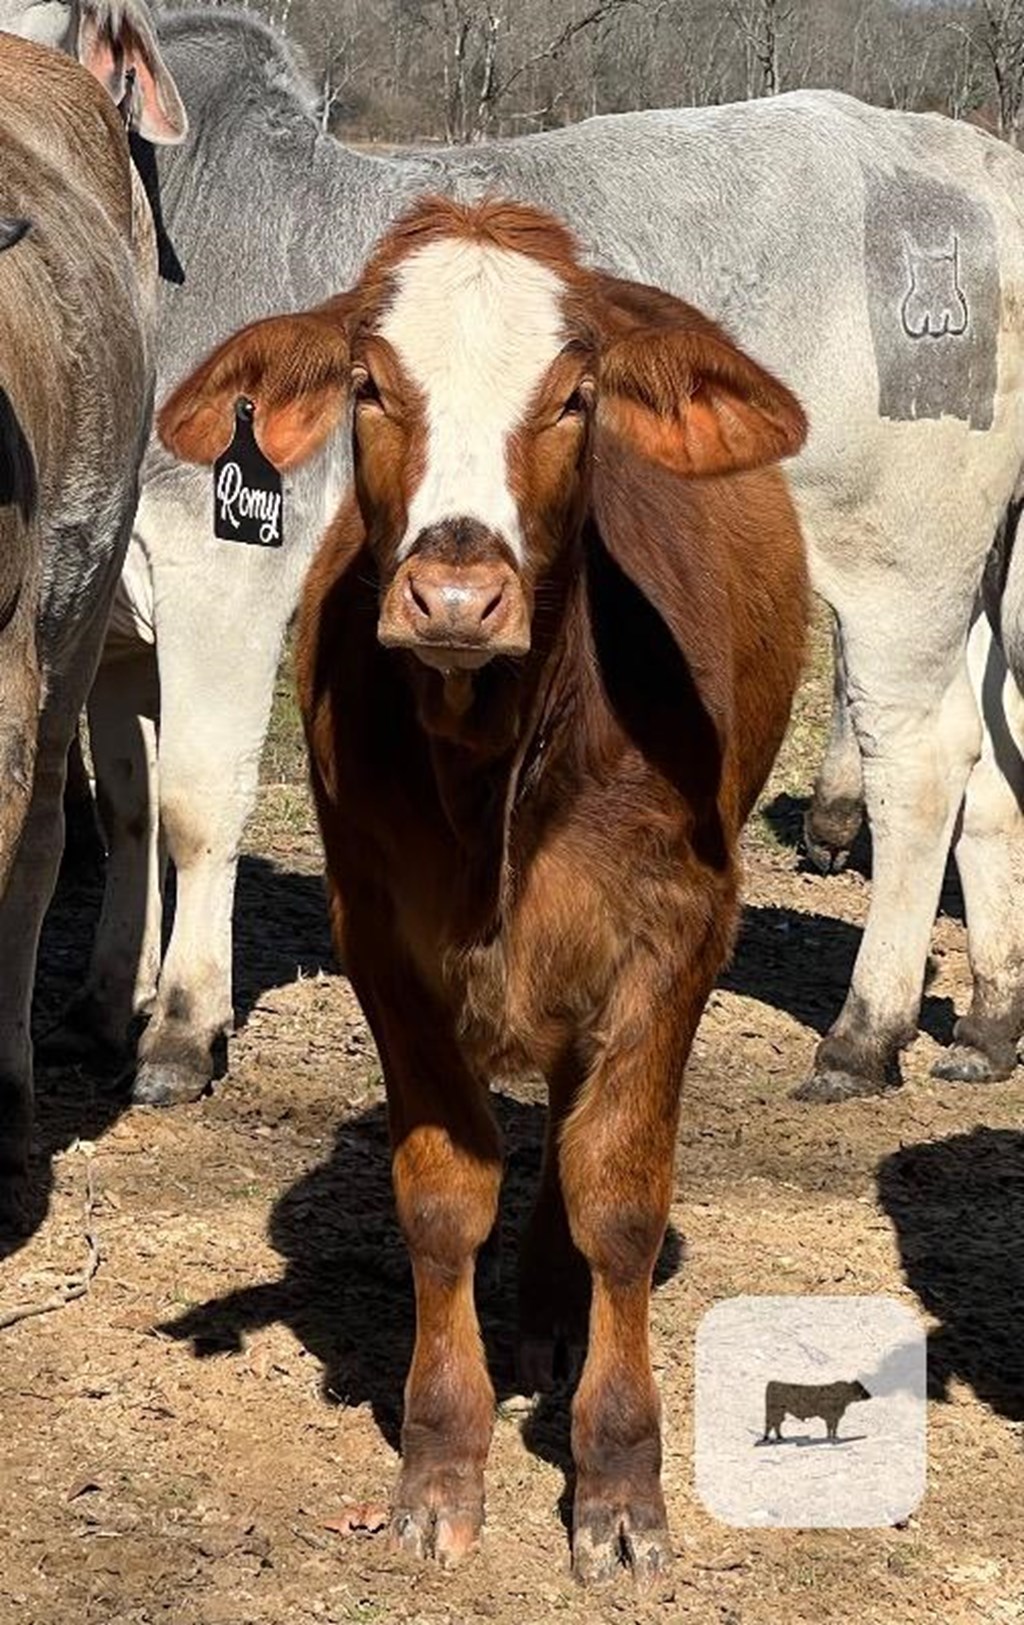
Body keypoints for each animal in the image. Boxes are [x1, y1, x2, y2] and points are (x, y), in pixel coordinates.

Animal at [8, 3, 1024, 1118]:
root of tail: (982, 166)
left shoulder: (224, 578)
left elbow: (193, 803)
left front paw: (183, 1030)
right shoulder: (111, 616)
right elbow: (129, 807)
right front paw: (103, 1008)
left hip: (898, 565)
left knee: (921, 767)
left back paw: (863, 1033)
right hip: (979, 578)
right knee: (993, 762)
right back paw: (988, 1021)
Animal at [160, 196, 815, 1579]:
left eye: (575, 397)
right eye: (368, 385)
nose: (456, 593)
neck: (500, 767)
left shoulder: (681, 933)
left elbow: (617, 1194)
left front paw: (617, 1484)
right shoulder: (380, 939)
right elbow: (443, 1195)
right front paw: (440, 1463)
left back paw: (561, 1317)